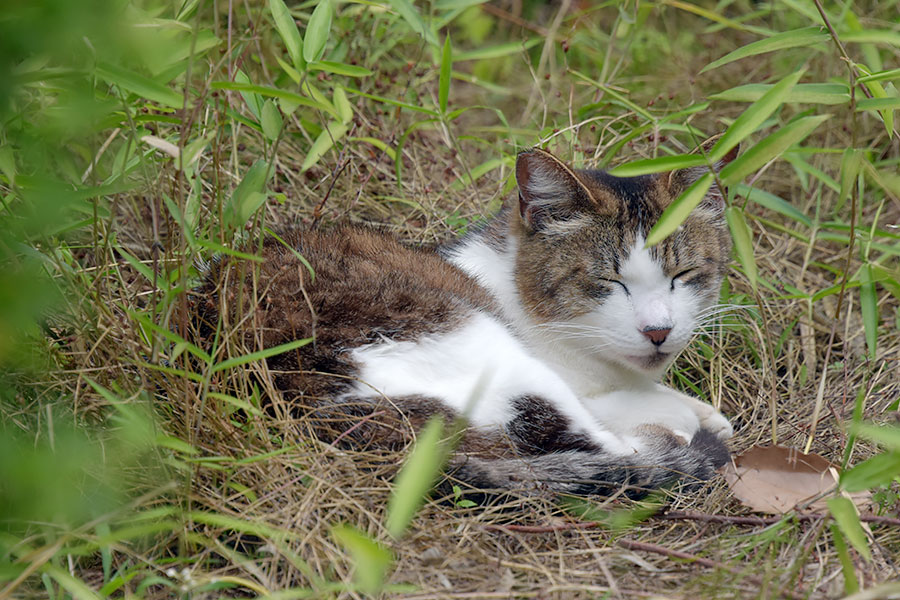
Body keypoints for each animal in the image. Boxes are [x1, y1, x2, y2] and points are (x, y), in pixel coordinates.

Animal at [199, 144, 740, 496]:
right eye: (609, 281)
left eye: (683, 275)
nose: (658, 330)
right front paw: (686, 413)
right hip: (478, 344)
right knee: (600, 444)